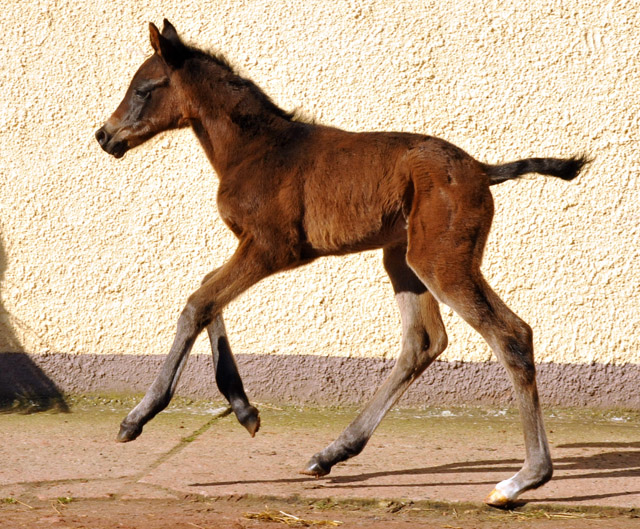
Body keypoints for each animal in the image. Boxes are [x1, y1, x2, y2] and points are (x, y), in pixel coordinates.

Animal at [95, 20, 592, 506]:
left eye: (143, 89)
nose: (105, 135)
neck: (257, 149)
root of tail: (482, 170)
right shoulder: (253, 247)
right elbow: (207, 296)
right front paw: (244, 410)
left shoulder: (274, 248)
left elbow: (197, 303)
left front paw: (138, 417)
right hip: (405, 260)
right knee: (423, 342)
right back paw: (331, 453)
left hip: (441, 261)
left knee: (510, 335)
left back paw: (522, 481)